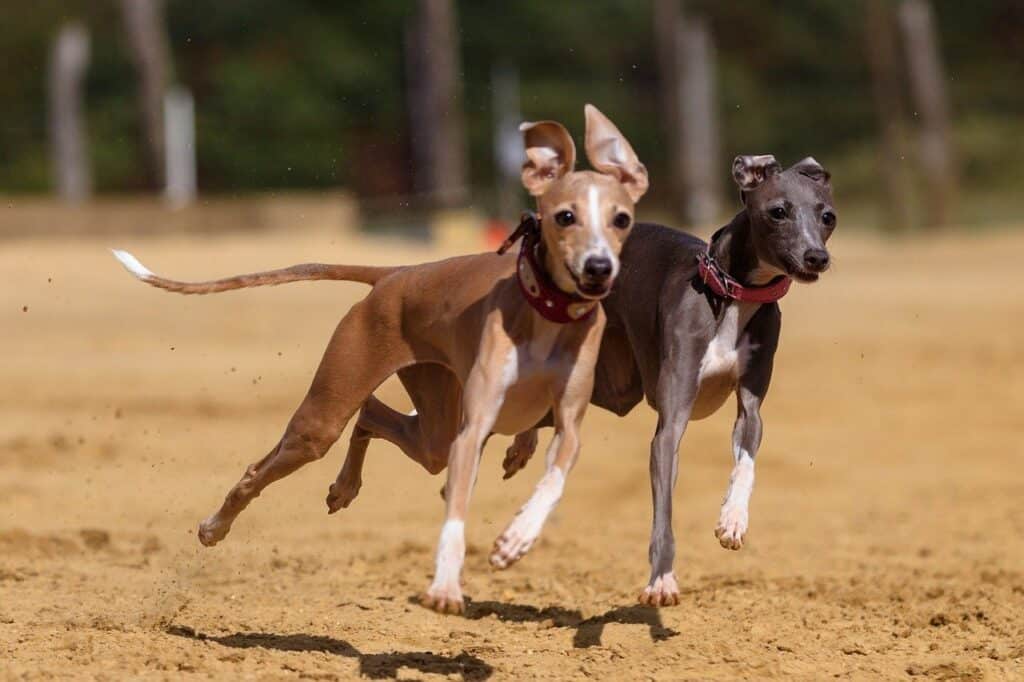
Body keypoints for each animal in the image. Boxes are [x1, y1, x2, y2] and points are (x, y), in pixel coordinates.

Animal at [114, 104, 647, 610]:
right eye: (565, 216)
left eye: (621, 219)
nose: (599, 268)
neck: (545, 310)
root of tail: (395, 274)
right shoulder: (474, 423)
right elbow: (460, 504)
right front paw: (450, 581)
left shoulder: (566, 421)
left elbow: (553, 475)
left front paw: (517, 534)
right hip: (330, 413)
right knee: (278, 460)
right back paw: (216, 526)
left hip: (434, 413)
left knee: (375, 415)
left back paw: (347, 486)